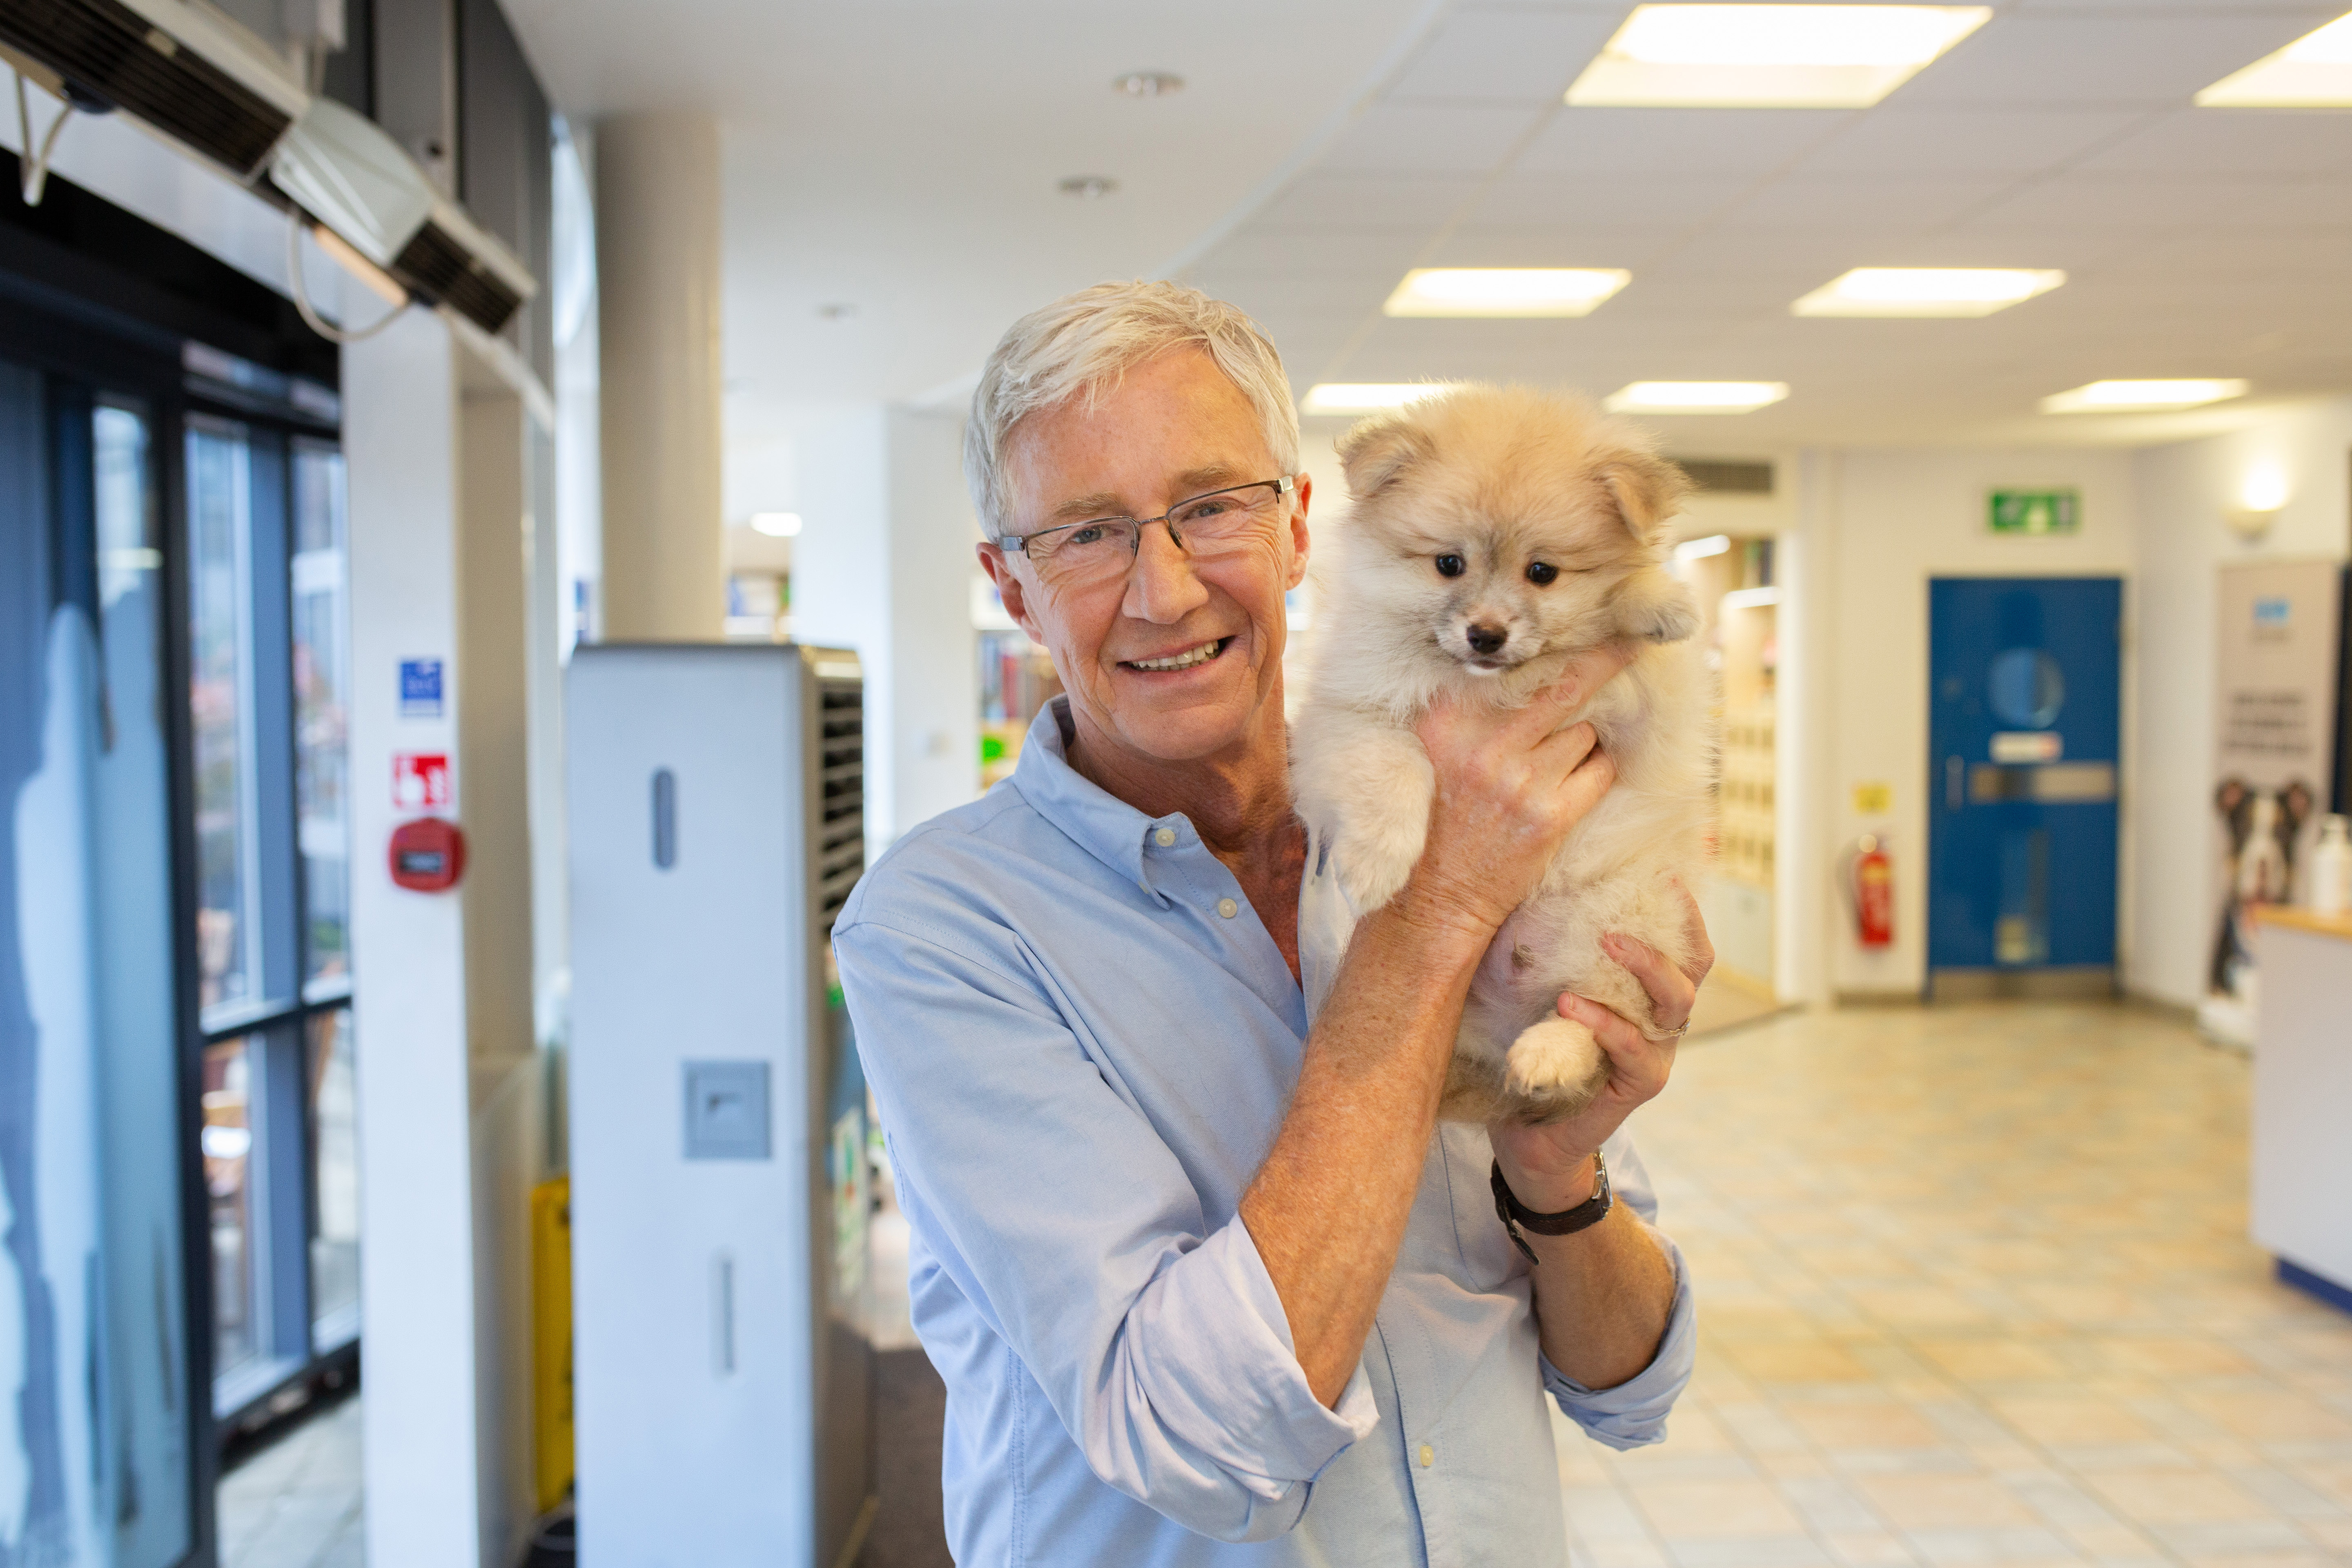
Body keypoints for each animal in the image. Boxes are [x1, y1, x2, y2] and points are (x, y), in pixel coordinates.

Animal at [1298, 390, 1722, 1128]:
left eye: (1542, 573)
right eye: (1448, 564)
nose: (1486, 634)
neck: (1491, 684)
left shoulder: (1648, 712)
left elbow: (1636, 630)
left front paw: (1656, 599)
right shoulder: (1347, 712)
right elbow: (1394, 764)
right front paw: (1379, 863)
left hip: (1624, 913)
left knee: (1599, 1015)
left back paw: (1549, 1056)